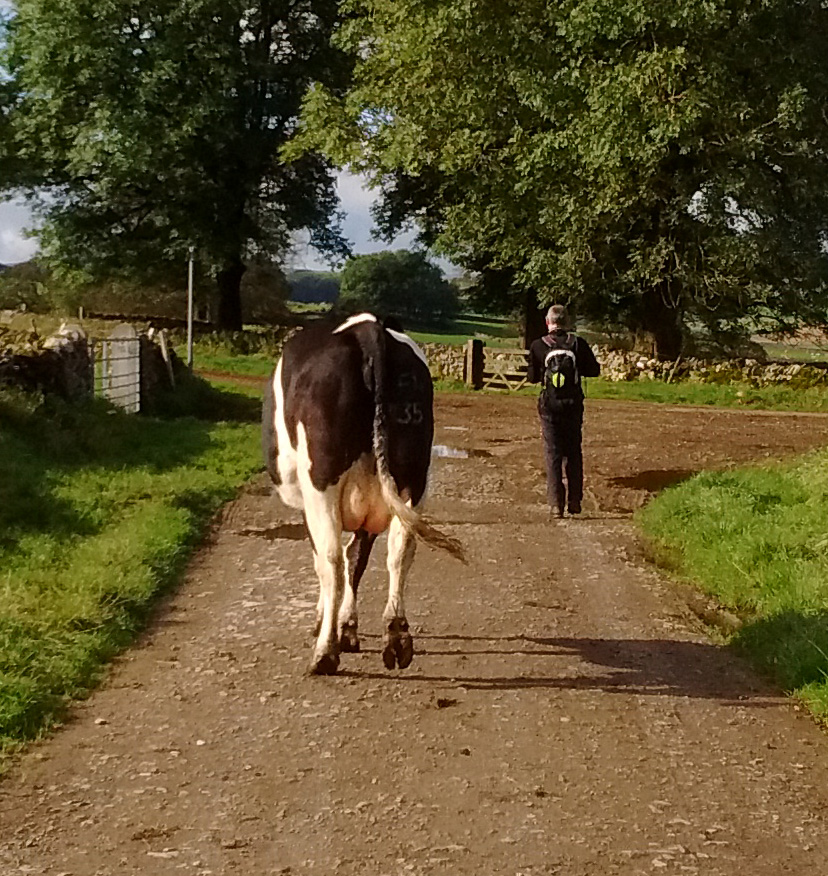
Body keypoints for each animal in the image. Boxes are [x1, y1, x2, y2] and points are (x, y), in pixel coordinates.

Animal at [262, 314, 462, 676]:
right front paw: (348, 627)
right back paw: (396, 638)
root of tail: (367, 329)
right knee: (400, 550)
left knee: (330, 559)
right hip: (413, 478)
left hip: (321, 481)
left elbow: (330, 558)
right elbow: (357, 558)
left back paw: (324, 653)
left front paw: (329, 624)